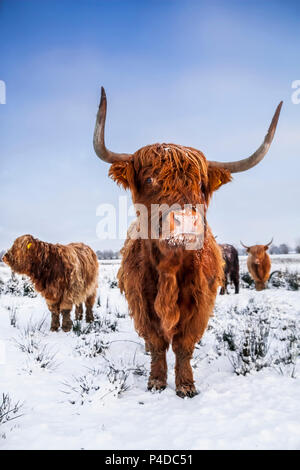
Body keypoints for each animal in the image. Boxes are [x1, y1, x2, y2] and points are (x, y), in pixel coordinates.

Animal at [93, 87, 282, 396]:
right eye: (149, 178)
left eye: (202, 186)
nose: (186, 222)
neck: (169, 267)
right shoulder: (141, 302)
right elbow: (157, 342)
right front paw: (157, 381)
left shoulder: (200, 301)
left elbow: (183, 345)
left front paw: (185, 385)